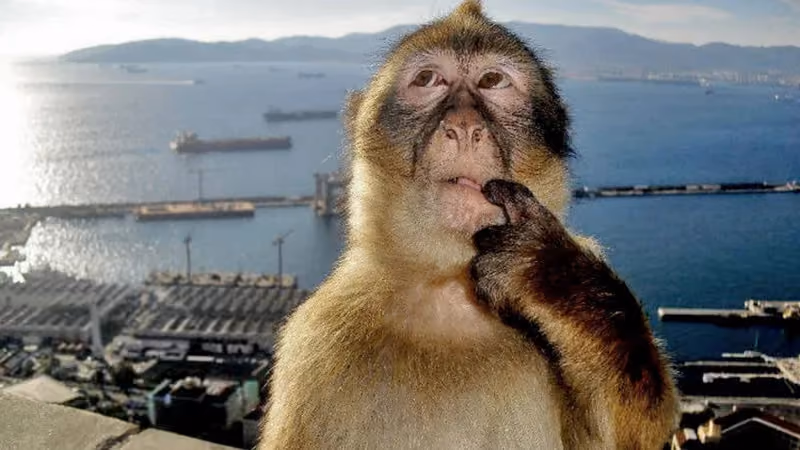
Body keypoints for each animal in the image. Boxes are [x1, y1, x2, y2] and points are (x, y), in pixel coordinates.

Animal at [259, 1, 678, 449]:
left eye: (492, 81)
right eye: (428, 79)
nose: (463, 126)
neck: (449, 287)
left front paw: (546, 272)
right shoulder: (315, 345)